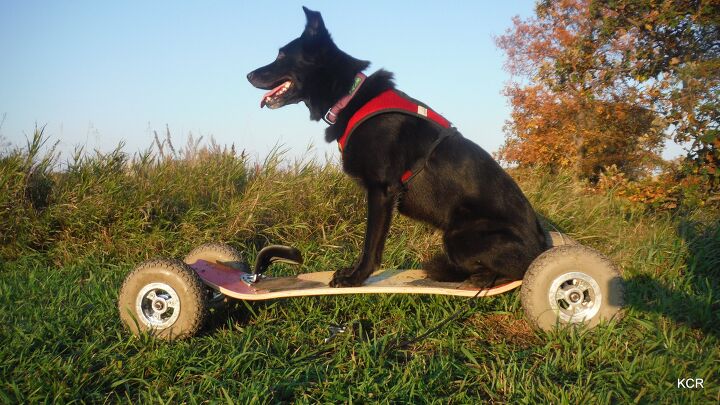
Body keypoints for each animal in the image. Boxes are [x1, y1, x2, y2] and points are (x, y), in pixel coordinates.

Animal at [248, 6, 544, 288]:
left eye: (282, 56)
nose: (248, 74)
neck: (349, 97)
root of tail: (540, 248)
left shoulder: (381, 190)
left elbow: (370, 244)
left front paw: (355, 278)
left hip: (458, 236)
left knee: (511, 271)